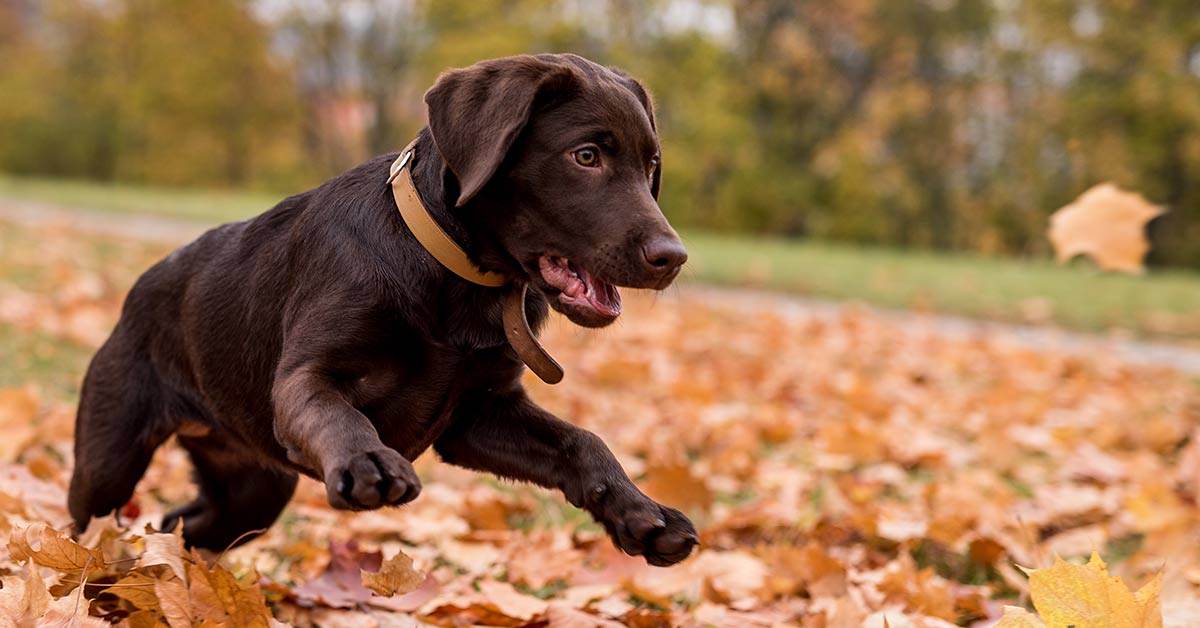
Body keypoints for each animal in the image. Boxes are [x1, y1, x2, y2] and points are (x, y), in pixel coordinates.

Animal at [65, 52, 700, 564]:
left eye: (651, 166)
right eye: (585, 155)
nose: (673, 257)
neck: (455, 278)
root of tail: (139, 287)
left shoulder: (478, 415)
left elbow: (582, 441)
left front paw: (641, 513)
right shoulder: (304, 377)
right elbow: (335, 412)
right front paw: (368, 460)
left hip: (252, 489)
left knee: (183, 526)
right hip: (109, 459)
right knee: (83, 522)